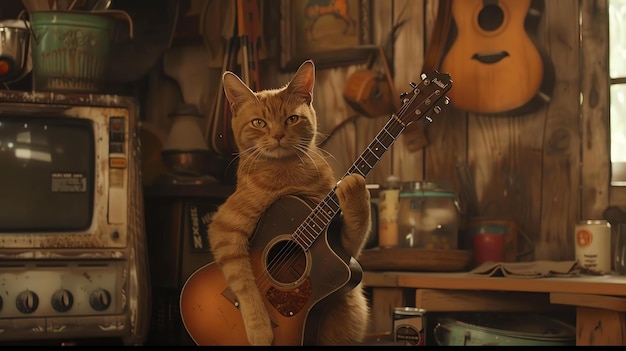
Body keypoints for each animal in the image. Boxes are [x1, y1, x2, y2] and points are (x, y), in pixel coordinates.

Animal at [207, 61, 368, 346]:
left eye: (292, 119)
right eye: (259, 123)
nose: (279, 135)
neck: (287, 175)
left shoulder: (341, 249)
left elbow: (357, 230)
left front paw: (355, 189)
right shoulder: (223, 229)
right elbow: (243, 282)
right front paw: (259, 328)